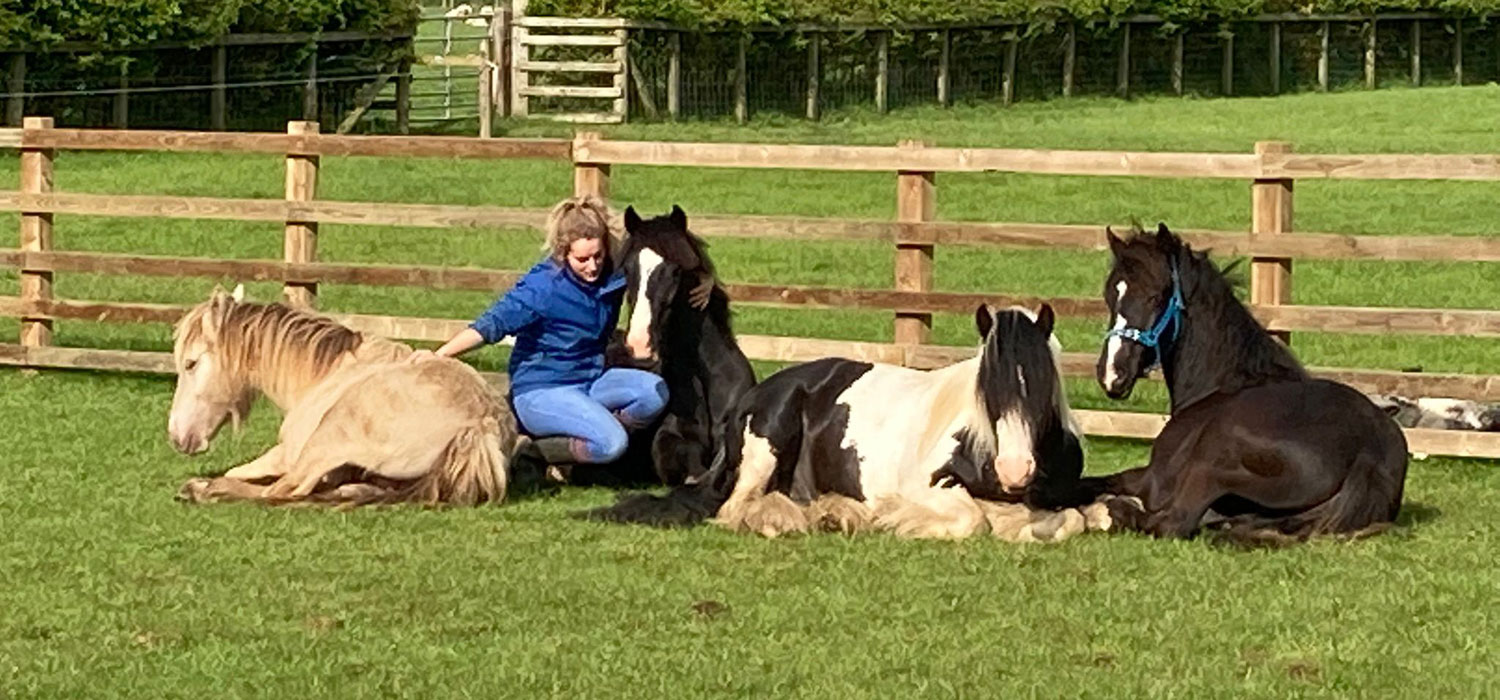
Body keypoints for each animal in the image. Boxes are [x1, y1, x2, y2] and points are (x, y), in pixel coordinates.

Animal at [169, 285, 518, 506]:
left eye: (191, 363)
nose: (177, 436)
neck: (326, 373)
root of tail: (480, 425)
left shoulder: (288, 453)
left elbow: (242, 473)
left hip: (324, 443)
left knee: (284, 490)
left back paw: (201, 490)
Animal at [587, 303, 1105, 541]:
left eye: (1041, 387)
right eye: (987, 390)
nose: (1015, 470)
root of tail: (758, 393)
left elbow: (1078, 518)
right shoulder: (926, 486)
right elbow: (972, 519)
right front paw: (894, 518)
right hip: (767, 443)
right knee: (733, 511)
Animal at [1086, 224, 1408, 542]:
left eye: (1155, 296)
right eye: (1110, 295)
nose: (1112, 374)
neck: (1220, 383)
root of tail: (1368, 453)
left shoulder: (1152, 478)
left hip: (1212, 460)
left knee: (1172, 522)